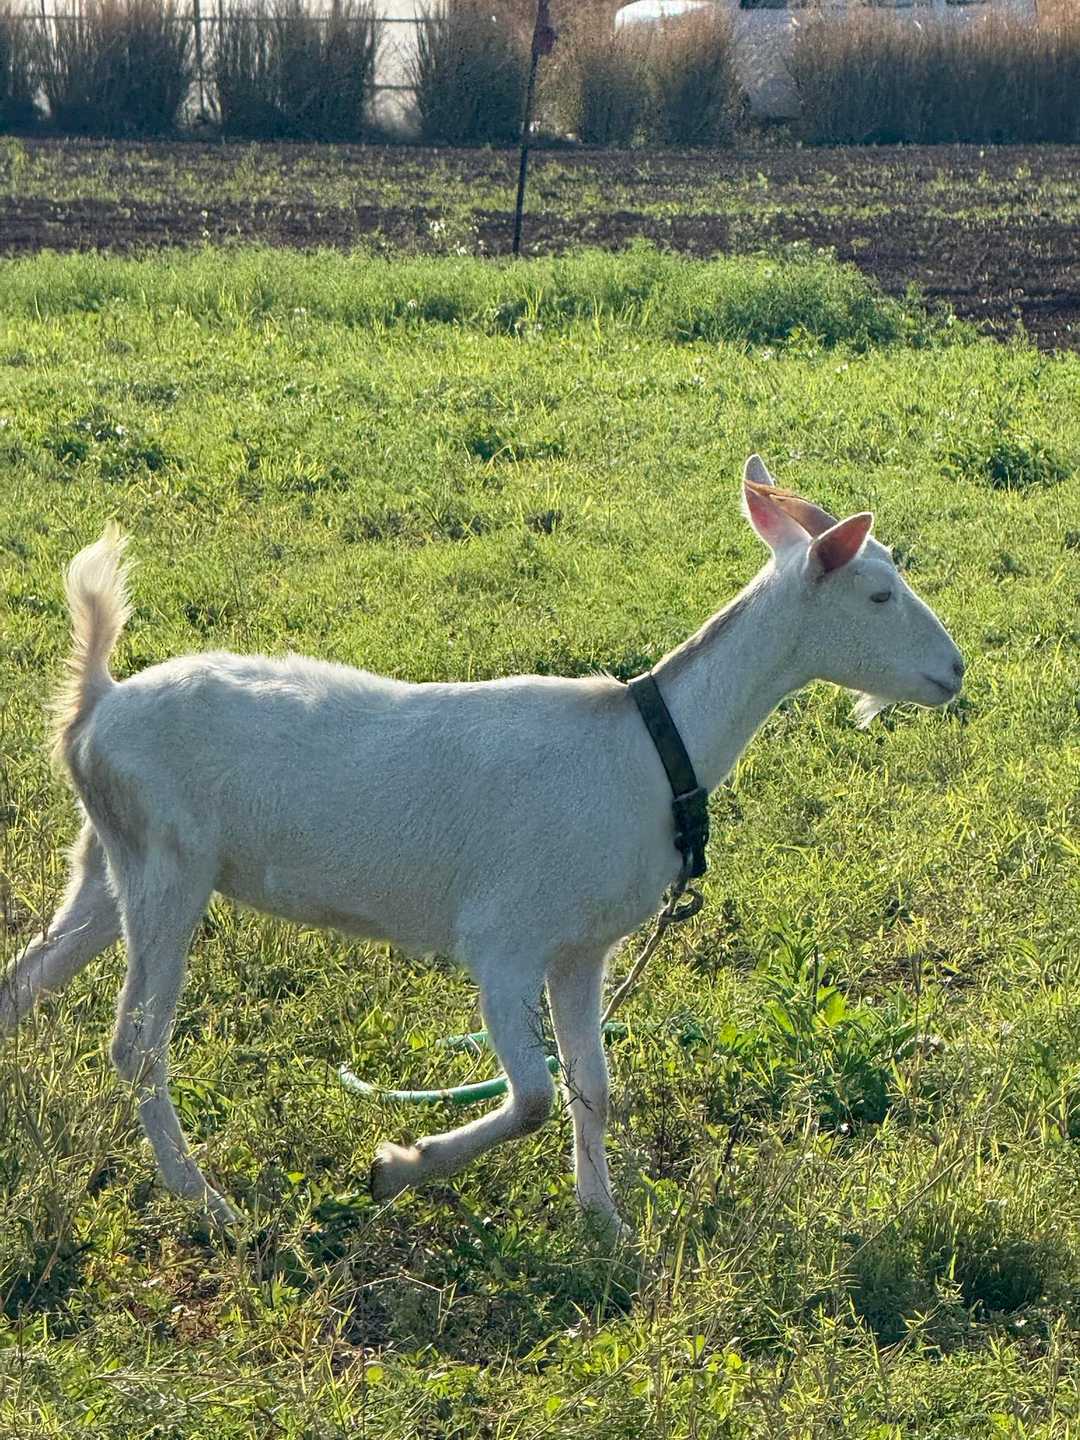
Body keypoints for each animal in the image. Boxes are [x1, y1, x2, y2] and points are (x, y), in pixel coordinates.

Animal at [1, 457, 964, 1232]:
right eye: (879, 594)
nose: (954, 671)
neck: (647, 748)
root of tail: (95, 706)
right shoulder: (504, 941)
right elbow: (533, 1094)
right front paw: (397, 1167)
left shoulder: (581, 951)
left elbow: (592, 1087)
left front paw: (604, 1224)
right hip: (168, 865)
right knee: (136, 1044)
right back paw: (211, 1204)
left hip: (107, 861)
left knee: (24, 982)